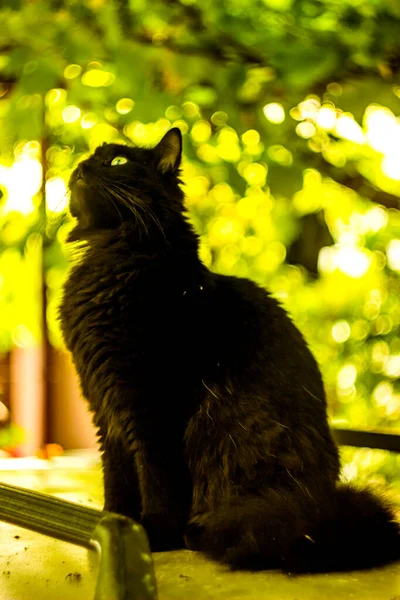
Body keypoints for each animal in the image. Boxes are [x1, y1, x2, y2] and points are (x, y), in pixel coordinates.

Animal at [60, 127, 400, 572]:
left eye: (116, 162)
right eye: (86, 159)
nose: (81, 167)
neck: (109, 256)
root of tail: (321, 515)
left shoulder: (150, 406)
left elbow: (155, 477)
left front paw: (153, 534)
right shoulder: (106, 409)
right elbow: (116, 480)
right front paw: (113, 525)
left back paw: (200, 533)